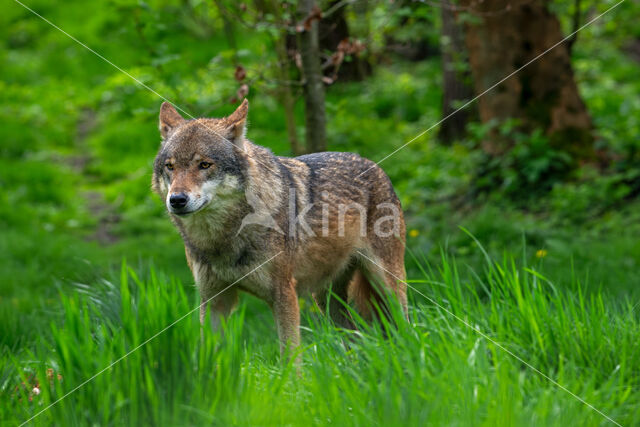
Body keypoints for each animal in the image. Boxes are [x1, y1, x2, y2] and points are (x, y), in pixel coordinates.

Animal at [152, 99, 408, 358]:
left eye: (204, 164)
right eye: (170, 166)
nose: (177, 200)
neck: (223, 238)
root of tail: (373, 165)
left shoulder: (283, 294)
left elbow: (289, 356)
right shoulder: (214, 299)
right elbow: (207, 356)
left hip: (387, 285)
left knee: (404, 327)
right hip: (326, 299)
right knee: (354, 339)